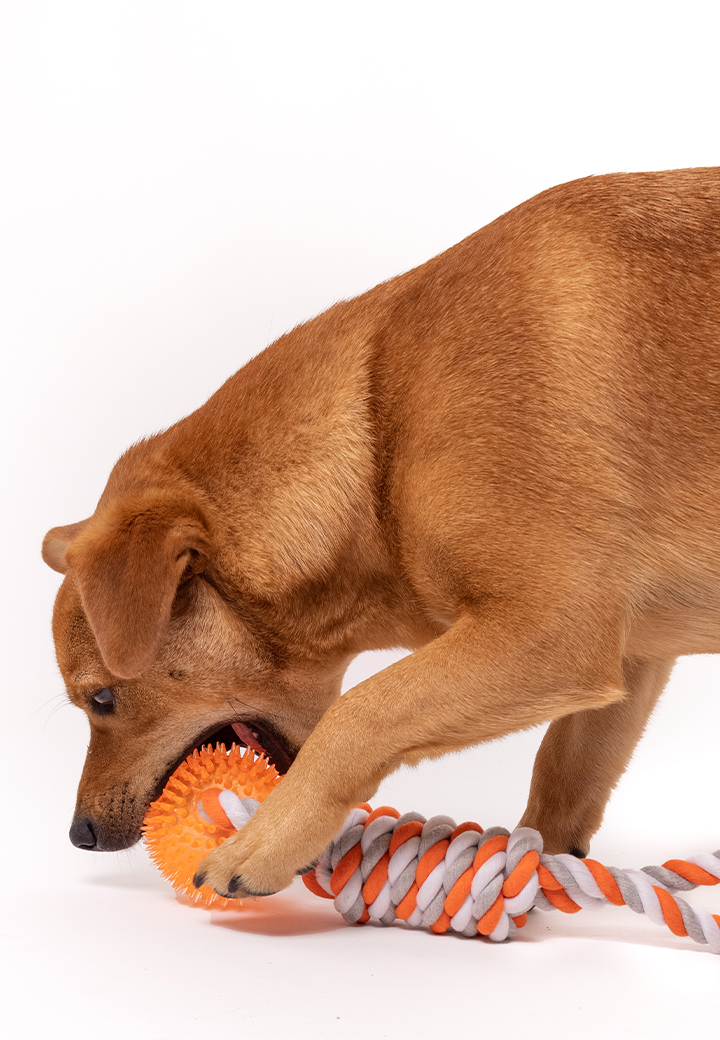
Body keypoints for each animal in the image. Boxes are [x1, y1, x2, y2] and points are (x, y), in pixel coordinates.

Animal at [43, 166, 719, 898]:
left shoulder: (551, 632)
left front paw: (264, 844)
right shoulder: (627, 658)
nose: (78, 835)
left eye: (101, 698)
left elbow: (360, 713)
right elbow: (566, 776)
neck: (378, 436)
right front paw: (530, 871)